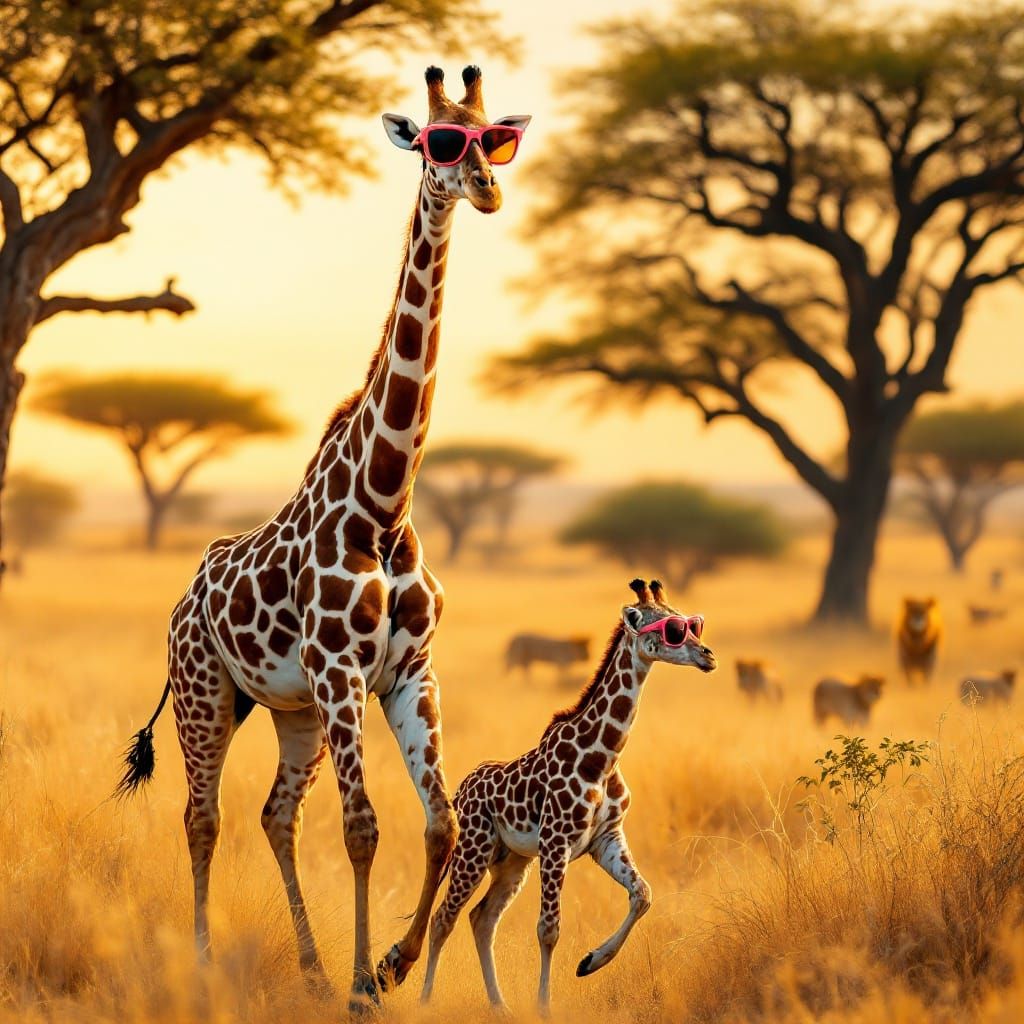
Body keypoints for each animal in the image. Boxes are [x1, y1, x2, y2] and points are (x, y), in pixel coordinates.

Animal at [116, 65, 531, 1013]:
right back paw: (206, 962)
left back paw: (306, 967)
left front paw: (391, 965)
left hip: (291, 710)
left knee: (276, 813)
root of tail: (184, 597)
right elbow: (364, 827)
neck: (383, 504)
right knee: (203, 815)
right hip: (206, 694)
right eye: (436, 141)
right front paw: (363, 985)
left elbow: (441, 823)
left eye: (494, 137)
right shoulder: (344, 671)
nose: (483, 189)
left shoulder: (408, 673)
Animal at [420, 579, 717, 1014]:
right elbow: (549, 929)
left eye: (690, 623)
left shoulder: (606, 839)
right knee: (444, 917)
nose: (708, 656)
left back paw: (500, 1004)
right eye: (670, 630)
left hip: (511, 862)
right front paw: (545, 1006)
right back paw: (425, 1000)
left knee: (482, 919)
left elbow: (642, 895)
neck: (602, 758)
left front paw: (591, 962)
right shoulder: (555, 842)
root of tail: (459, 792)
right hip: (473, 851)